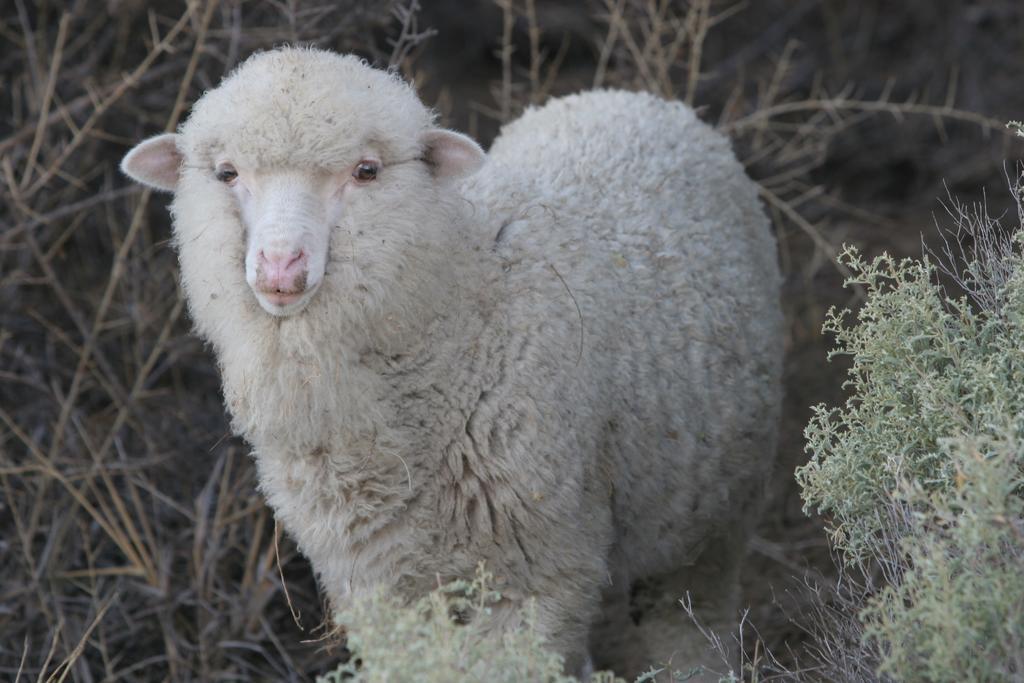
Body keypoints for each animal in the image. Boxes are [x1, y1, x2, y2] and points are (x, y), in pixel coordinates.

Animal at [123, 46, 786, 679]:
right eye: (227, 173)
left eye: (366, 171)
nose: (280, 267)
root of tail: (632, 98)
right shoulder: (377, 587)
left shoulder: (537, 575)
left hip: (711, 524)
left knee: (689, 619)